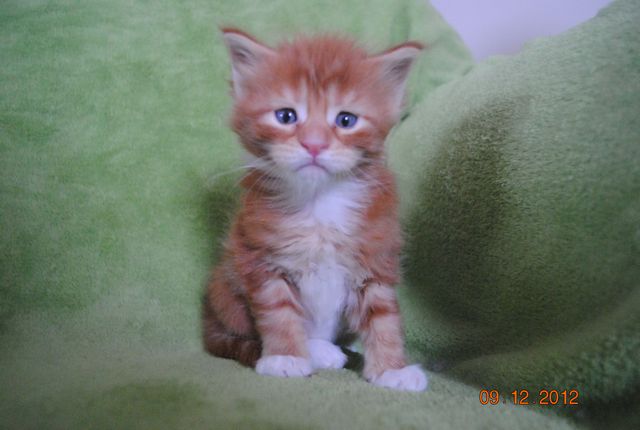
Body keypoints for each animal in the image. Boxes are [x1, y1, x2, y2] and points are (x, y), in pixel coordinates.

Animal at [202, 28, 427, 391]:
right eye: (286, 116)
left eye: (346, 120)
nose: (314, 144)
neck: (319, 204)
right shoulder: (258, 256)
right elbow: (279, 311)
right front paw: (286, 357)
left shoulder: (376, 257)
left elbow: (383, 317)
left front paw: (392, 369)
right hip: (227, 289)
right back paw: (319, 351)